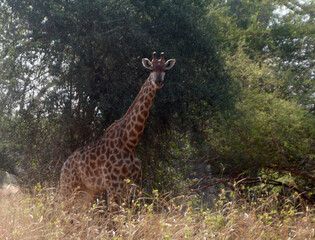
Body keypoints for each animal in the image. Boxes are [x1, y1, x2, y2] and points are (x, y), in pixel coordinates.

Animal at [59, 51, 175, 205]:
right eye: (151, 69)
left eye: (165, 70)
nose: (158, 82)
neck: (129, 142)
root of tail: (63, 168)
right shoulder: (112, 184)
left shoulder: (129, 183)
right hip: (69, 188)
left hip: (86, 191)